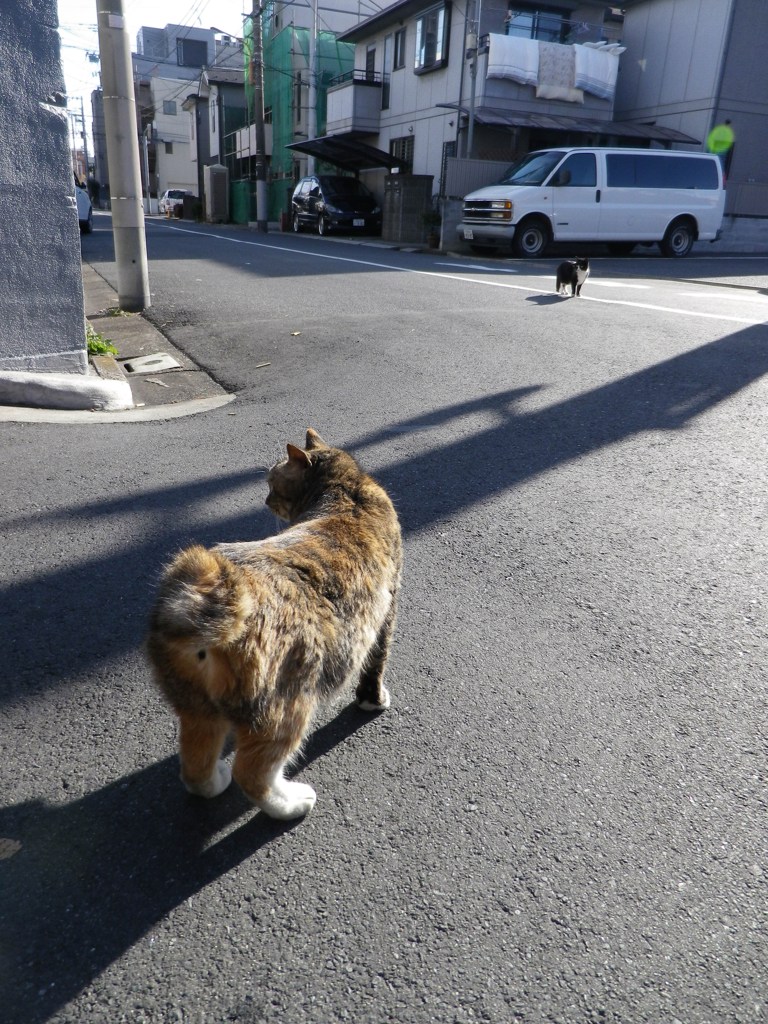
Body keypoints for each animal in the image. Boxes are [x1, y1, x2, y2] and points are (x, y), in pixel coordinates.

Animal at [146, 428, 405, 819]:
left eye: (271, 481)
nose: (265, 499)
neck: (344, 489)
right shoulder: (387, 608)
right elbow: (376, 663)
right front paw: (372, 701)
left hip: (196, 708)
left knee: (194, 766)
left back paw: (214, 781)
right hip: (287, 707)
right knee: (252, 772)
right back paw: (292, 803)